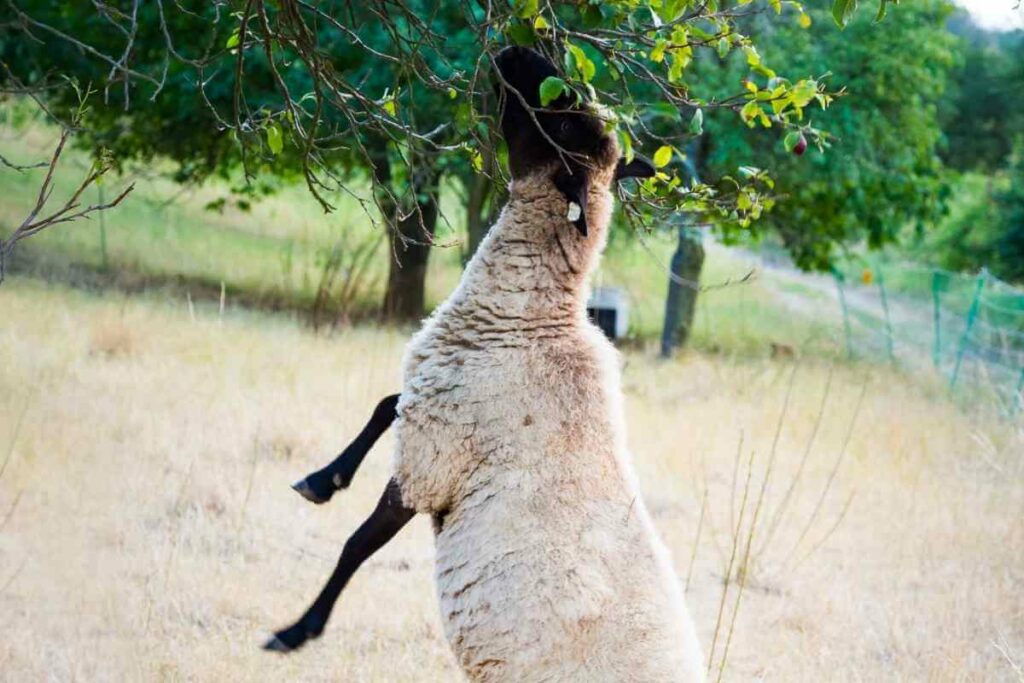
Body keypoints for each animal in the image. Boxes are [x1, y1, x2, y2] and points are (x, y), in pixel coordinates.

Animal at [266, 45, 705, 682]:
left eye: (563, 127)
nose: (515, 52)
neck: (531, 319)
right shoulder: (435, 404)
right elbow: (385, 404)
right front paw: (322, 479)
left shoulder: (435, 463)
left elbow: (357, 545)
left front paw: (296, 631)